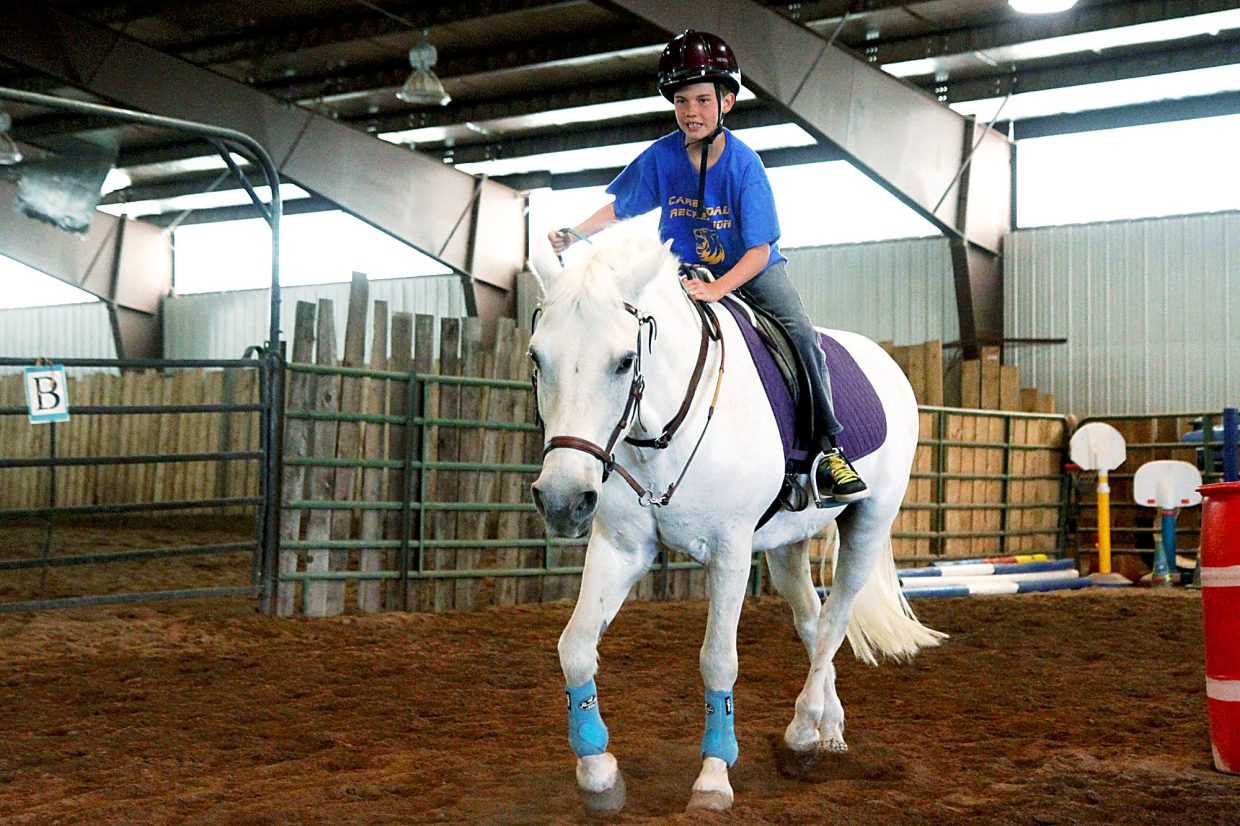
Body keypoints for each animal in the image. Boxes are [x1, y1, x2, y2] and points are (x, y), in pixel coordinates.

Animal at [528, 221, 944, 813]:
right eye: (537, 358)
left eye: (625, 361)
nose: (563, 499)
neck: (663, 432)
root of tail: (885, 363)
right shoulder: (621, 549)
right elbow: (576, 647)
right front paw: (599, 774)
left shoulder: (729, 552)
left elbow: (718, 660)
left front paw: (713, 777)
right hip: (787, 545)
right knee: (812, 622)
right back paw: (828, 729)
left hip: (869, 522)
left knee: (835, 620)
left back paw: (801, 736)